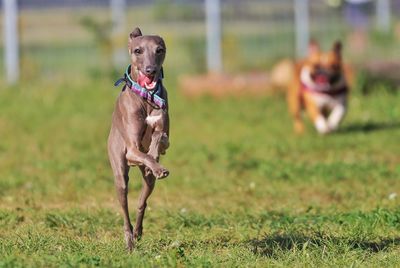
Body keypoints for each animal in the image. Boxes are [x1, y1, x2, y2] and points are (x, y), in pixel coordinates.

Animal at [108, 27, 169, 251]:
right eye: (138, 50)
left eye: (159, 50)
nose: (151, 70)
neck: (147, 97)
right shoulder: (132, 149)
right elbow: (143, 153)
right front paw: (157, 164)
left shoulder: (164, 129)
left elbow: (159, 137)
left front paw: (155, 153)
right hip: (120, 173)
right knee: (125, 209)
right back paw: (129, 240)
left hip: (148, 183)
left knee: (142, 202)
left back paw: (138, 231)